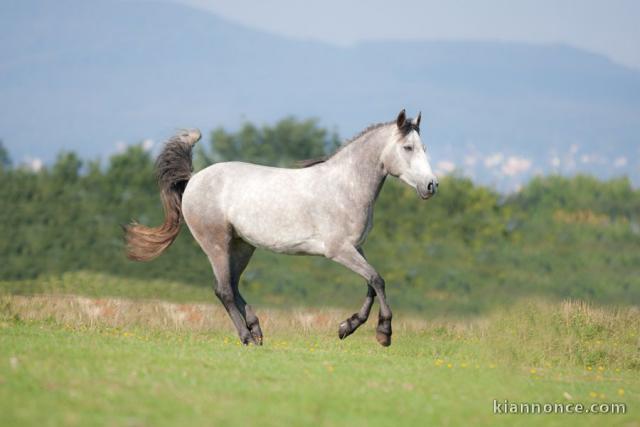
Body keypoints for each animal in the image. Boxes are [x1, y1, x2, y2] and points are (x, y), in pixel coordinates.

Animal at [126, 110, 440, 348]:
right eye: (408, 148)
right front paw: (383, 333)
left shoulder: (356, 247)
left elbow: (371, 285)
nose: (431, 186)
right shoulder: (339, 250)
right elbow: (378, 280)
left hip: (242, 246)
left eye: (424, 148)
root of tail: (193, 179)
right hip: (216, 243)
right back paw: (246, 337)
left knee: (233, 286)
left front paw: (346, 327)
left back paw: (256, 330)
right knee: (223, 290)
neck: (344, 186)